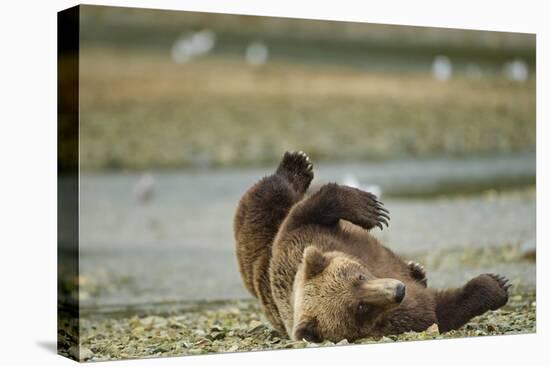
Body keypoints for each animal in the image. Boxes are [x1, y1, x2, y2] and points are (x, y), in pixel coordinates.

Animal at [234, 151, 512, 344]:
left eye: (359, 276)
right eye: (360, 308)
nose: (399, 290)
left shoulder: (301, 238)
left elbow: (309, 212)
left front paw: (370, 209)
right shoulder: (398, 318)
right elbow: (439, 310)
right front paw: (495, 285)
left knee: (273, 195)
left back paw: (296, 165)